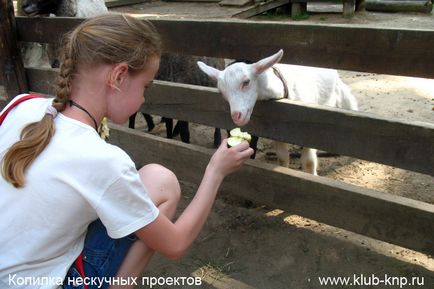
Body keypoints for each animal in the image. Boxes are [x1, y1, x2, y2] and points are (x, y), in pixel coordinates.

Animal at [198, 49, 358, 174]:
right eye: (222, 92)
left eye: (246, 82)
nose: (237, 116)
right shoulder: (279, 132)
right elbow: (282, 158)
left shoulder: (309, 131)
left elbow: (309, 162)